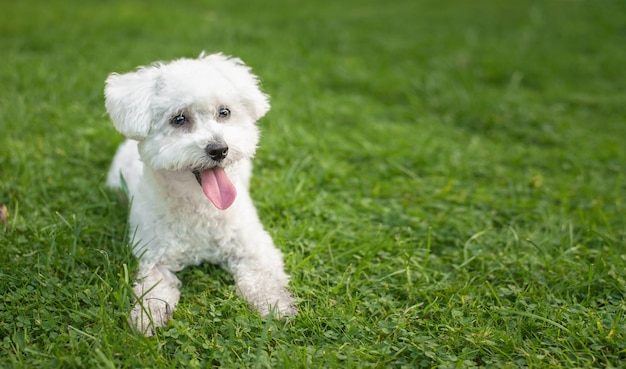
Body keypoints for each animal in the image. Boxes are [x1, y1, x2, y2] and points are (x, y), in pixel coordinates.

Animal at [104, 53, 294, 334]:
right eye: (179, 119)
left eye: (224, 112)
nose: (219, 149)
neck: (201, 207)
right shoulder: (155, 256)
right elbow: (153, 290)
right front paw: (147, 318)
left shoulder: (253, 245)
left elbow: (264, 278)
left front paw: (276, 304)